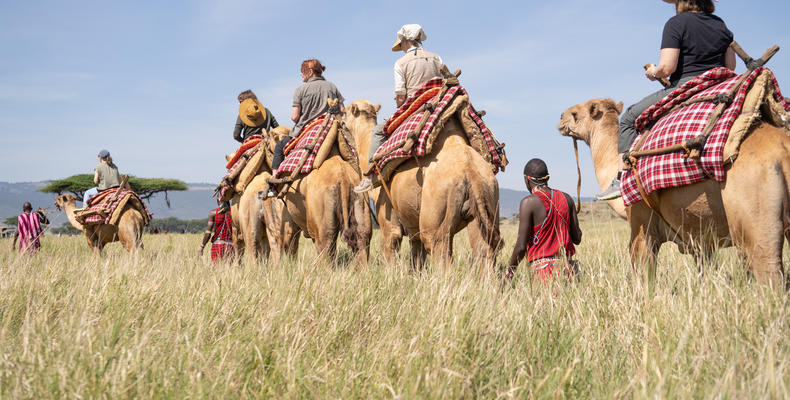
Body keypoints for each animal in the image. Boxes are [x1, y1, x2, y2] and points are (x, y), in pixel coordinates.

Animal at [342, 99, 502, 272]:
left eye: (345, 111)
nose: (341, 121)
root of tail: (470, 171)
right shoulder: (413, 229)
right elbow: (416, 261)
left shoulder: (388, 221)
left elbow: (390, 252)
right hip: (488, 200)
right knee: (484, 250)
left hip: (436, 213)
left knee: (440, 251)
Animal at [560, 98, 790, 286]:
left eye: (575, 114)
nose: (561, 118)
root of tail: (783, 150)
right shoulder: (701, 239)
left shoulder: (642, 225)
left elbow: (644, 276)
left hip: (754, 220)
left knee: (768, 271)